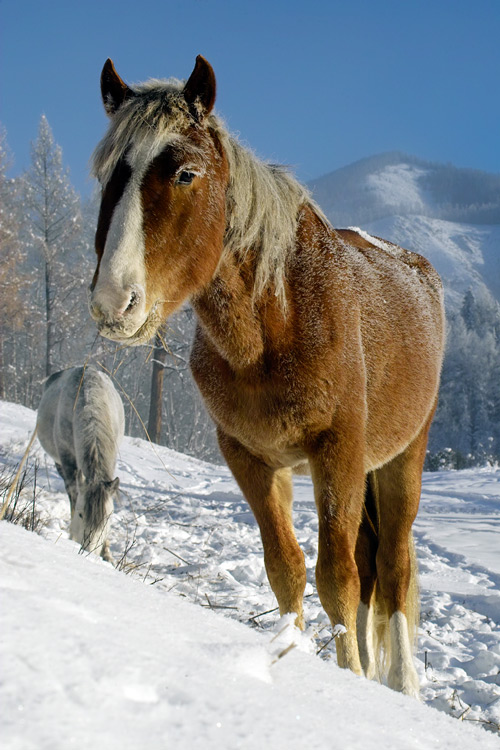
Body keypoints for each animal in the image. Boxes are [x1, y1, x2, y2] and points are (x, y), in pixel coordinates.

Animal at [36, 368, 124, 560]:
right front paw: (72, 537)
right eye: (81, 514)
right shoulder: (68, 462)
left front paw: (107, 553)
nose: (88, 551)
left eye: (107, 519)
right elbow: (74, 497)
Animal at [89, 57, 446, 700]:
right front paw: (294, 659)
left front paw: (350, 677)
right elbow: (287, 568)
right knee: (371, 564)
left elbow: (337, 577)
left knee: (393, 567)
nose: (113, 302)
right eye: (107, 172)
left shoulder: (338, 452)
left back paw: (402, 685)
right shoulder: (251, 457)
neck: (278, 321)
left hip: (402, 458)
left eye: (185, 172)